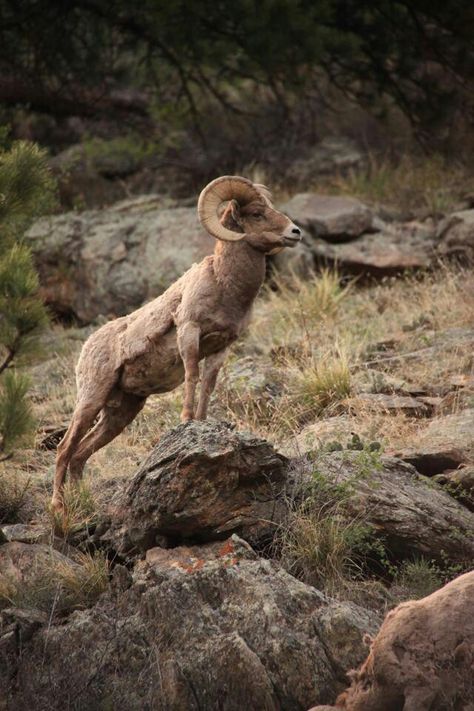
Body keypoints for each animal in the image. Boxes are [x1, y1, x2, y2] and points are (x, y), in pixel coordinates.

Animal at [51, 175, 300, 508]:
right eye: (257, 214)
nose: (295, 232)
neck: (225, 286)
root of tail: (87, 348)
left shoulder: (222, 346)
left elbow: (208, 385)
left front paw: (204, 423)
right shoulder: (189, 332)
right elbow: (192, 376)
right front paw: (186, 421)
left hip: (122, 412)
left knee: (80, 454)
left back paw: (83, 505)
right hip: (91, 399)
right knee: (65, 449)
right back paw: (57, 506)